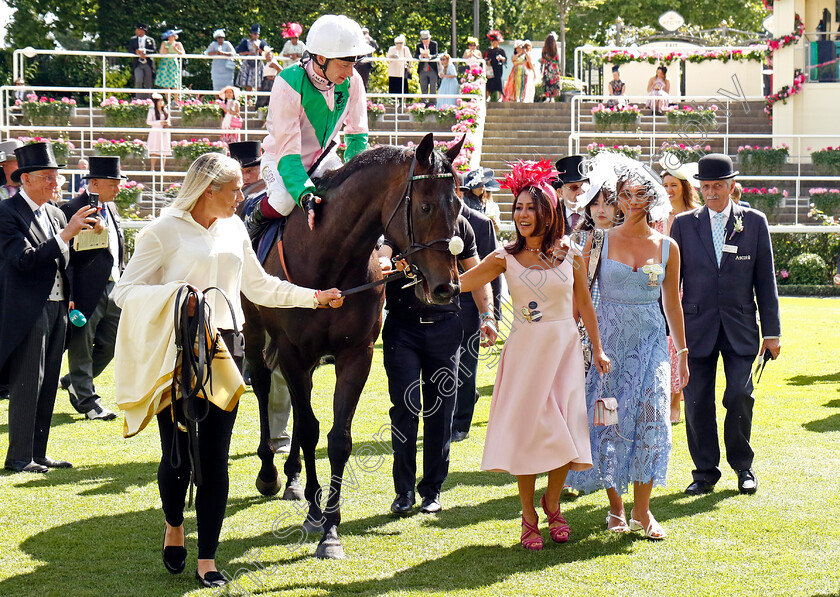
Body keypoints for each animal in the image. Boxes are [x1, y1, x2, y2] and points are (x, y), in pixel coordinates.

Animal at [241, 133, 466, 556]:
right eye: (425, 205)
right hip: (254, 329)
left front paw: (330, 527)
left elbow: (338, 439)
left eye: (459, 206)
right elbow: (310, 429)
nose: (446, 287)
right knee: (263, 385)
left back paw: (294, 478)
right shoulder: (293, 352)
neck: (329, 259)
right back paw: (269, 472)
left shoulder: (356, 354)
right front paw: (315, 514)